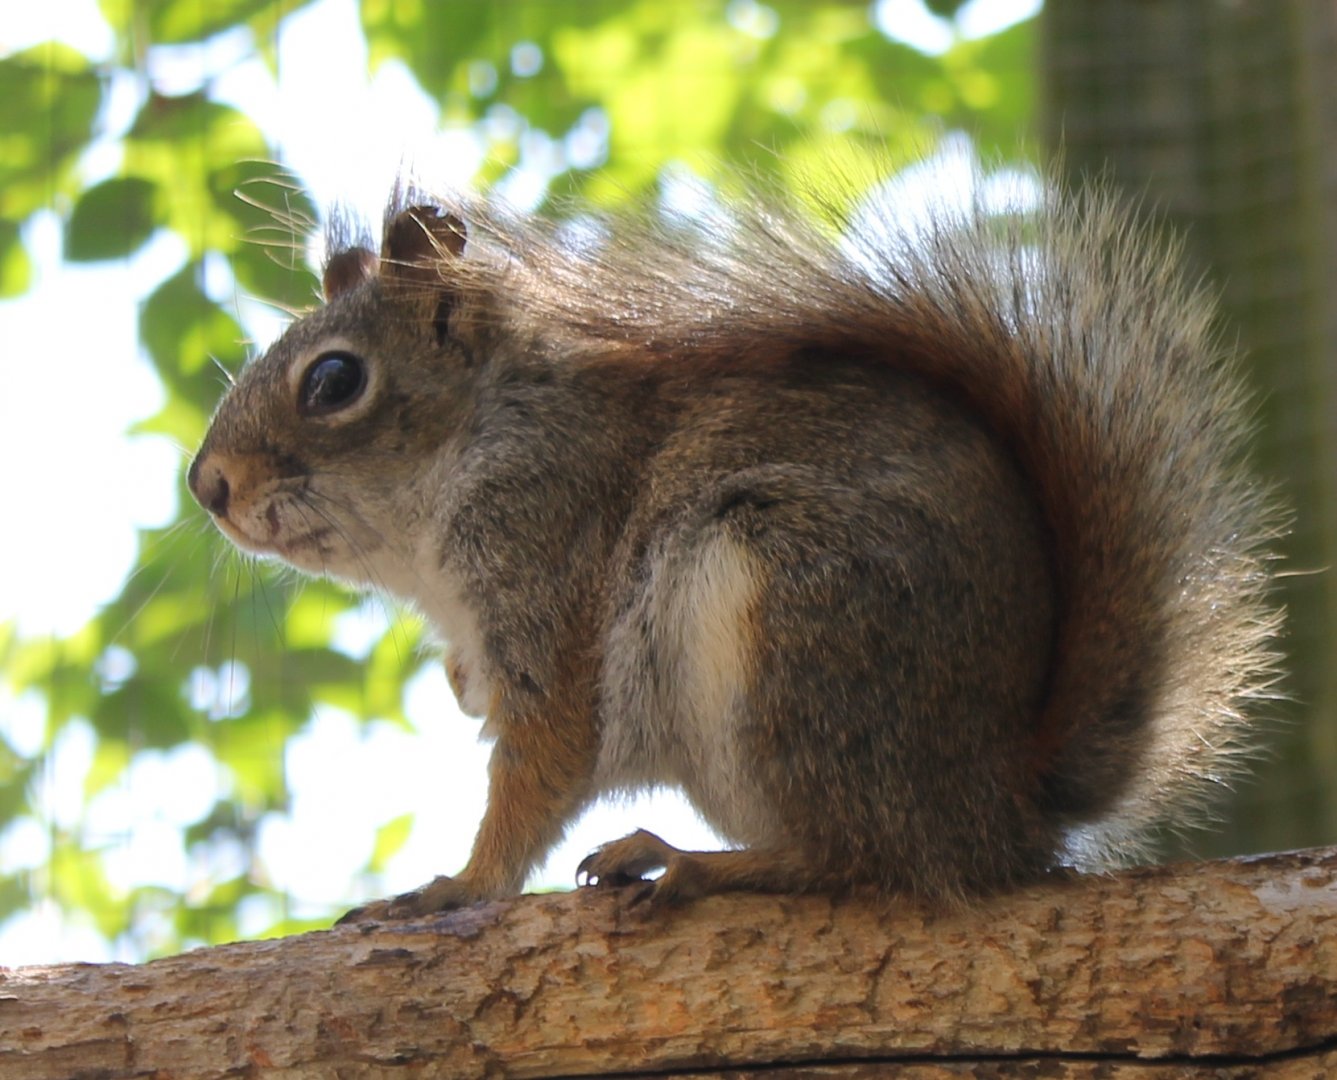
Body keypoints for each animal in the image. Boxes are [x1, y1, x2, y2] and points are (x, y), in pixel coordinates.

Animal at [187, 170, 1282, 920]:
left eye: (334, 382)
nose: (207, 486)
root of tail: (1003, 799)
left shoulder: (549, 560)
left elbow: (539, 765)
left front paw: (459, 884)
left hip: (787, 622)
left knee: (870, 858)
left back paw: (699, 865)